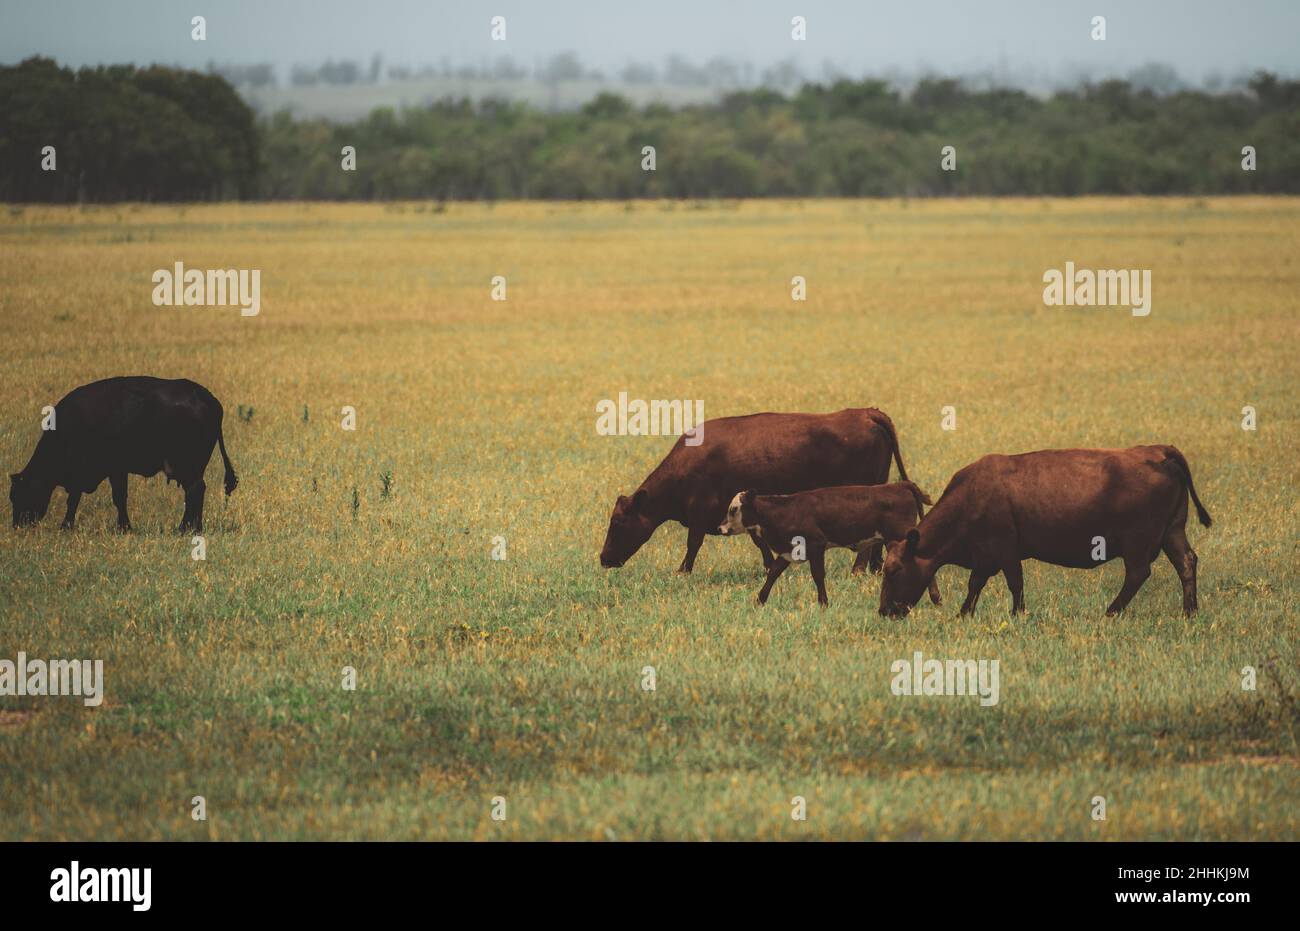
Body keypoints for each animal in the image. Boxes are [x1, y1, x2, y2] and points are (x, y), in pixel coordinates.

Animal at [9, 376, 237, 533]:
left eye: (18, 495)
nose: (17, 525)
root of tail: (206, 397)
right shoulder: (115, 470)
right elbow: (118, 498)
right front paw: (124, 527)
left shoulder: (95, 471)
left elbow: (82, 499)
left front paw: (66, 526)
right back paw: (193, 528)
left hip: (187, 467)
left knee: (195, 491)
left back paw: (185, 528)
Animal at [600, 408, 912, 574]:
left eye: (618, 523)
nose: (603, 559)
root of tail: (865, 413)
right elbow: (759, 541)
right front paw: (769, 565)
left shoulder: (700, 511)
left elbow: (693, 544)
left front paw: (682, 571)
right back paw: (875, 568)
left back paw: (859, 570)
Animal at [718, 482, 944, 607]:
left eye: (733, 509)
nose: (721, 528)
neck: (785, 510)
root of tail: (899, 485)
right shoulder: (789, 551)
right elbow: (773, 572)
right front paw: (760, 600)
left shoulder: (816, 546)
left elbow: (818, 576)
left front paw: (823, 603)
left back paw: (936, 599)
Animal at [878, 446, 1211, 619]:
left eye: (893, 570)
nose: (883, 611)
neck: (971, 494)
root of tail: (1156, 450)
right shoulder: (985, 555)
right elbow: (975, 584)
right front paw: (963, 614)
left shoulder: (1005, 548)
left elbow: (1014, 583)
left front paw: (1017, 614)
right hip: (1173, 531)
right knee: (1186, 562)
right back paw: (1189, 612)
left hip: (1139, 541)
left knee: (1138, 574)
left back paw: (1110, 612)